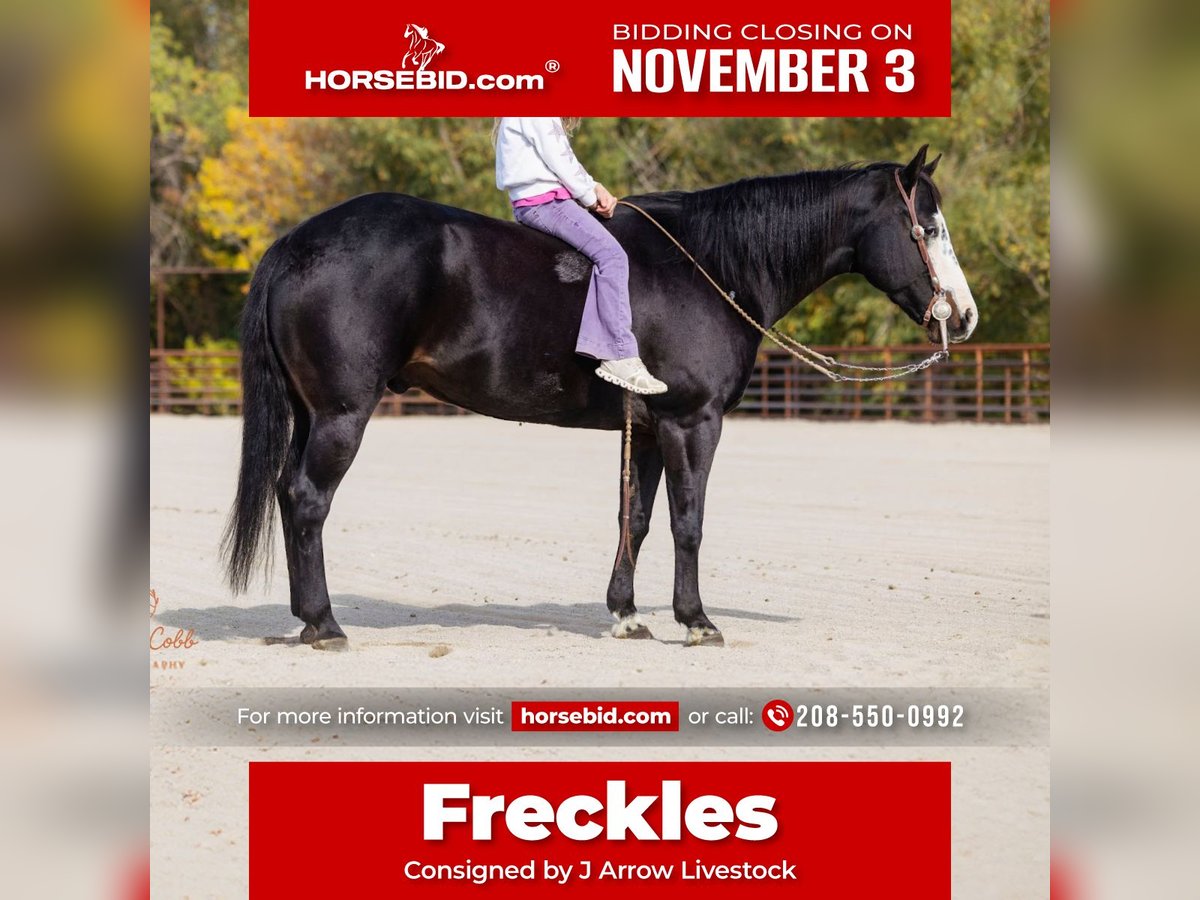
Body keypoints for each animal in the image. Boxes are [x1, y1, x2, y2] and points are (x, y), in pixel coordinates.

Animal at [221, 145, 978, 650]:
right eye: (929, 226)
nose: (964, 317)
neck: (710, 265)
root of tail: (296, 243)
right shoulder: (691, 421)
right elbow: (687, 522)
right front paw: (696, 621)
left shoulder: (646, 427)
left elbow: (633, 520)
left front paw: (627, 613)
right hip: (342, 414)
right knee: (309, 501)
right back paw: (324, 624)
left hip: (310, 414)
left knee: (289, 495)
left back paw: (307, 619)